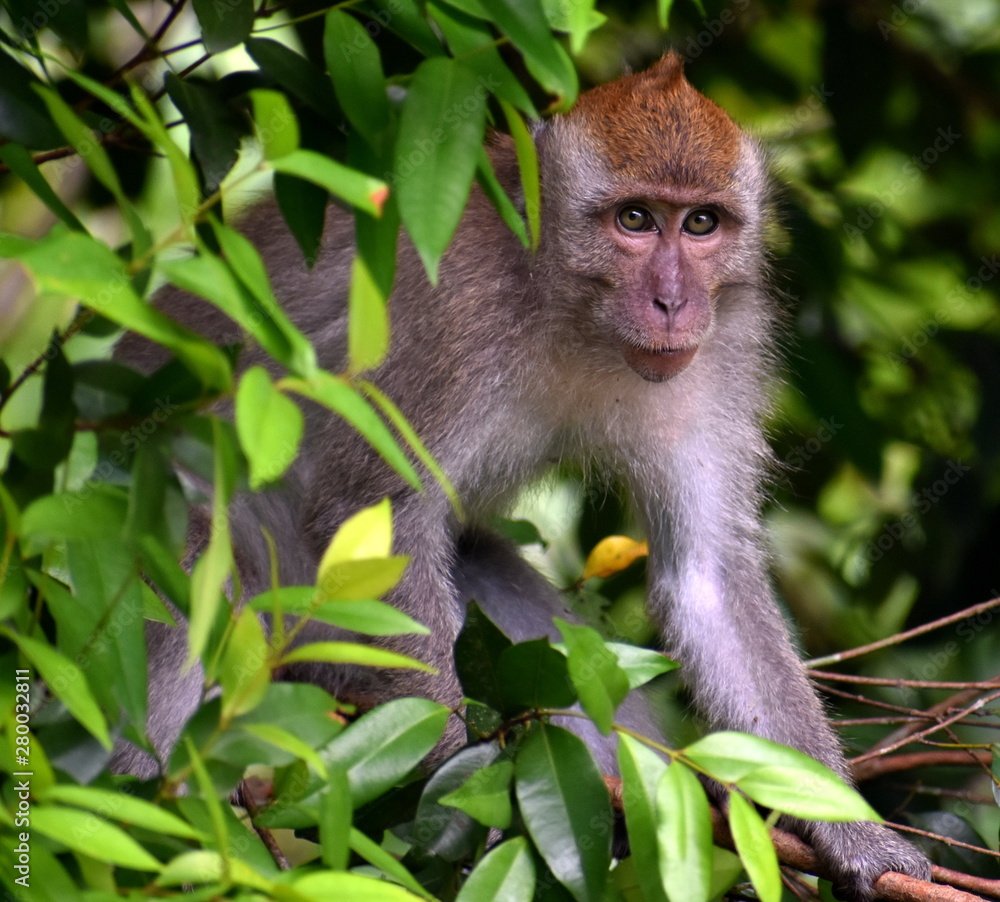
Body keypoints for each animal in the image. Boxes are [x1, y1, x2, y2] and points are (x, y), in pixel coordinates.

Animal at [113, 54, 932, 896]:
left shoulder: (718, 353)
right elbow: (372, 506)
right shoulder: (453, 317)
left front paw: (854, 833)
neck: (569, 307)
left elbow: (708, 578)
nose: (673, 303)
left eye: (701, 224)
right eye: (634, 220)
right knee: (186, 556)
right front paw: (450, 746)